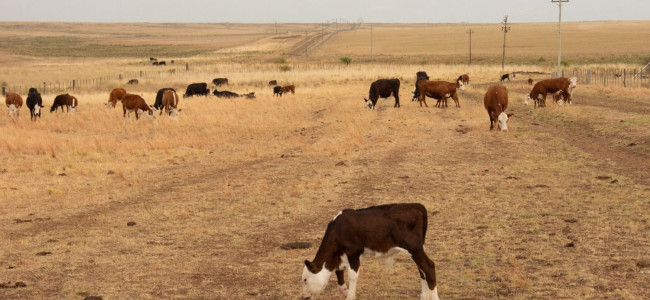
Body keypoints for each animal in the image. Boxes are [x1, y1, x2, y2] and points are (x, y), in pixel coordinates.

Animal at [302, 203, 438, 300]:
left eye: (305, 279)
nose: (304, 297)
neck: (339, 228)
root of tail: (416, 205)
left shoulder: (353, 252)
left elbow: (352, 276)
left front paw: (350, 296)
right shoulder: (341, 256)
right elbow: (339, 272)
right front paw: (345, 292)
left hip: (414, 248)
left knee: (429, 267)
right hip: (419, 248)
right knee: (422, 270)